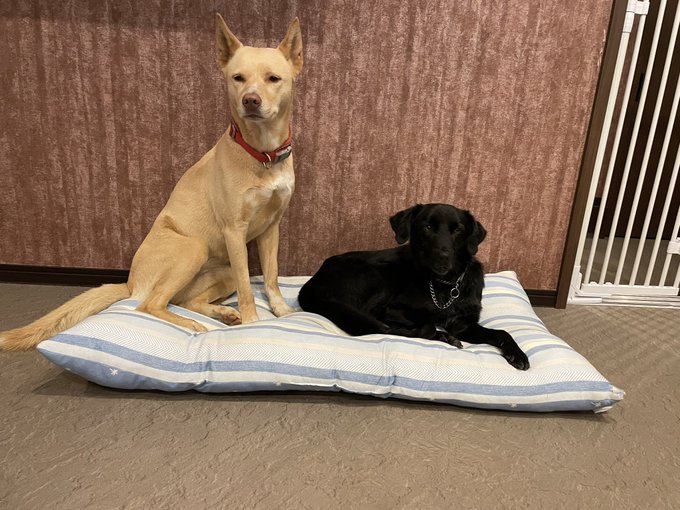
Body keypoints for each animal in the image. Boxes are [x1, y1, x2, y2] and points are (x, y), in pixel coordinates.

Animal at [0, 14, 303, 351]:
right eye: (237, 78)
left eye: (273, 78)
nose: (250, 100)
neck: (262, 153)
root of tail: (131, 282)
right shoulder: (234, 230)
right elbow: (248, 290)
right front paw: (252, 322)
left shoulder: (271, 227)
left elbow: (272, 277)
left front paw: (282, 312)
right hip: (193, 247)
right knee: (152, 304)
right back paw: (194, 324)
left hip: (220, 270)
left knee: (184, 300)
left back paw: (222, 313)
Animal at [298, 203, 530, 370]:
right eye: (427, 227)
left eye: (458, 229)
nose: (443, 257)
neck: (444, 286)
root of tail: (311, 283)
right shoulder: (393, 310)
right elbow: (425, 325)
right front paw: (434, 332)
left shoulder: (463, 324)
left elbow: (502, 332)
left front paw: (517, 354)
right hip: (380, 276)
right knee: (380, 325)